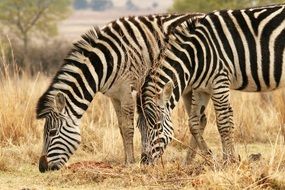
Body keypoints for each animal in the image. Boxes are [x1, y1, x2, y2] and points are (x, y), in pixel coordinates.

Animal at [36, 13, 204, 172]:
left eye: (52, 132)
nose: (42, 168)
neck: (105, 63)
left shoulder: (126, 92)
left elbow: (128, 128)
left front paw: (130, 162)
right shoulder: (115, 96)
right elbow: (121, 128)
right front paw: (126, 160)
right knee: (200, 120)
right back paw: (191, 160)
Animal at [133, 4, 284, 165]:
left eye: (157, 126)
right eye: (139, 127)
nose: (144, 162)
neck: (195, 57)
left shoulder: (220, 81)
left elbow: (224, 122)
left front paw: (228, 161)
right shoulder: (201, 89)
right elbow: (194, 123)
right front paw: (210, 157)